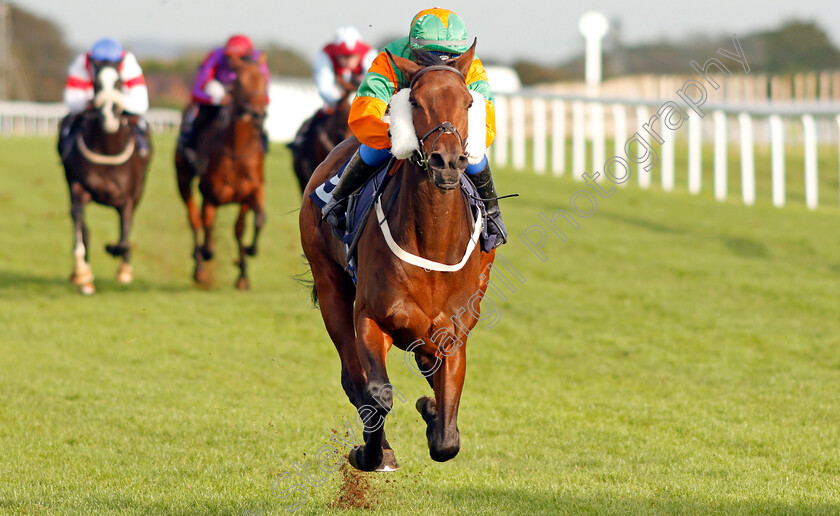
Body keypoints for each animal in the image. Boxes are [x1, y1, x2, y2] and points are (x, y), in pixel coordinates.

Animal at [60, 64, 153, 294]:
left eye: (119, 83)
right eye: (96, 83)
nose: (109, 117)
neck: (107, 147)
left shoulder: (127, 198)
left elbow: (124, 235)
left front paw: (116, 253)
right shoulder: (78, 187)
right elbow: (78, 222)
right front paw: (82, 272)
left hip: (139, 192)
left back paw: (124, 267)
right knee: (83, 226)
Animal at [176, 57, 268, 292]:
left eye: (263, 80)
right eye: (240, 82)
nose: (258, 114)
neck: (236, 150)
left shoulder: (251, 191)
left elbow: (251, 223)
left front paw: (245, 268)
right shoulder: (210, 192)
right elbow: (207, 222)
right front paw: (206, 252)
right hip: (182, 178)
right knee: (194, 219)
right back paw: (199, 268)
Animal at [300, 42, 492, 472]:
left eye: (470, 102)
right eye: (415, 102)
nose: (447, 162)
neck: (432, 243)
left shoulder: (453, 337)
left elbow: (447, 440)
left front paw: (433, 412)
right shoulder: (372, 318)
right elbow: (378, 393)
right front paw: (372, 452)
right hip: (330, 284)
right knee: (353, 377)